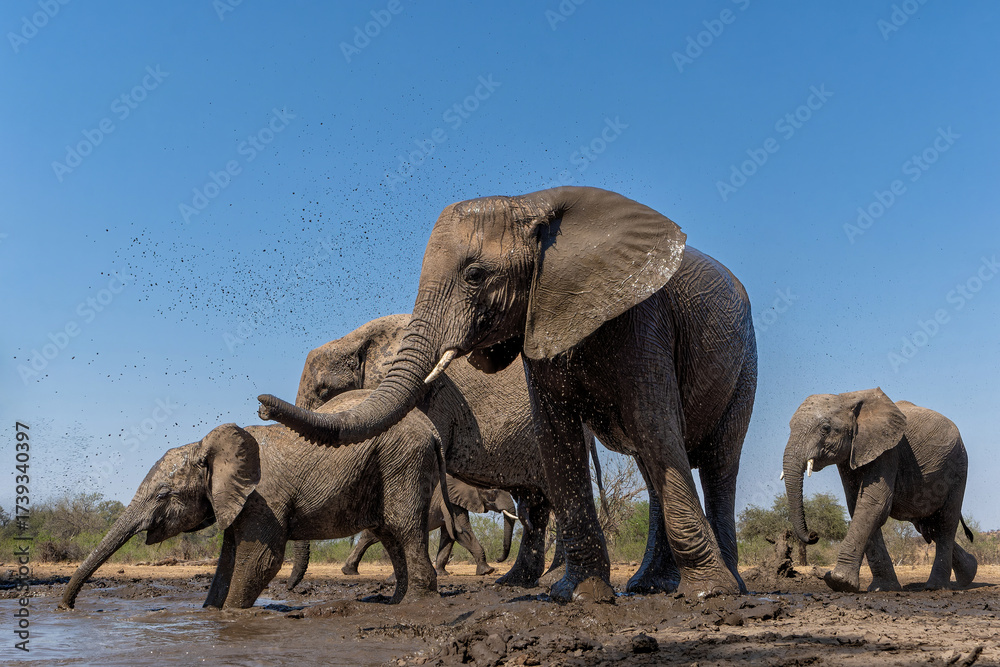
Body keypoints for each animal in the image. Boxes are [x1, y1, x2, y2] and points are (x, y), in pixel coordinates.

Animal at [58, 390, 452, 609]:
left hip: (404, 460)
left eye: (163, 495)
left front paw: (233, 616)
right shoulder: (237, 501)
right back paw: (397, 601)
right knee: (389, 533)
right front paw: (208, 614)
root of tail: (432, 431)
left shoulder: (264, 498)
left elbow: (261, 559)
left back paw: (415, 605)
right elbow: (228, 559)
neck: (208, 446)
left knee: (403, 527)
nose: (67, 607)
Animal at [287, 475, 517, 589]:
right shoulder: (450, 499)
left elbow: (449, 535)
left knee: (369, 537)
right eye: (492, 492)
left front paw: (443, 573)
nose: (499, 559)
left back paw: (349, 571)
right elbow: (461, 532)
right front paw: (488, 571)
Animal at [782, 387, 977, 593]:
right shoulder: (852, 454)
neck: (847, 398)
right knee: (928, 527)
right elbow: (857, 506)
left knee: (946, 523)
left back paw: (936, 587)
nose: (813, 535)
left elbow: (874, 504)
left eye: (825, 428)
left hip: (959, 467)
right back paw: (969, 572)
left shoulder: (889, 450)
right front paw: (882, 588)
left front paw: (839, 581)